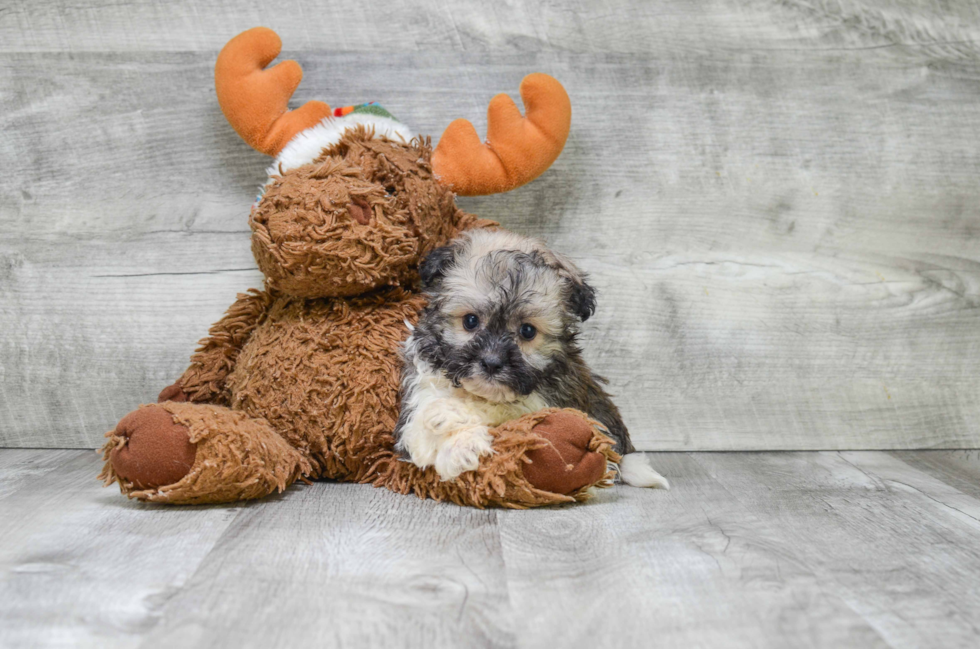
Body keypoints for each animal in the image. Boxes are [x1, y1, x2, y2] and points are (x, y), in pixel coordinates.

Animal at [394, 228, 668, 486]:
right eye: (470, 321)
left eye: (527, 331)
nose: (491, 363)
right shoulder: (422, 382)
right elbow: (421, 420)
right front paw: (454, 445)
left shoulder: (551, 399)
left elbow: (500, 407)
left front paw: (451, 419)